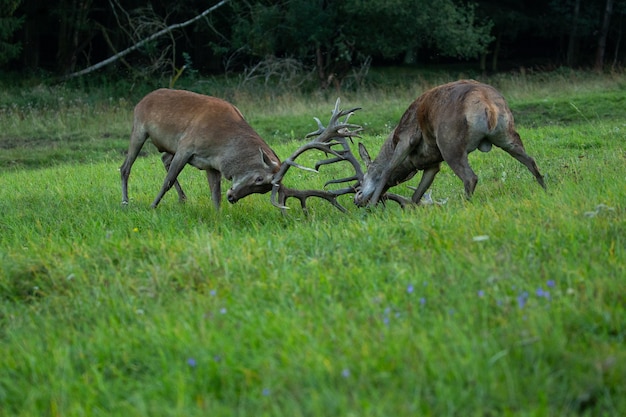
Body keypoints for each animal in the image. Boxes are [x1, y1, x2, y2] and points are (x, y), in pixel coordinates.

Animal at [119, 90, 278, 210]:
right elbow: (168, 181)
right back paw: (125, 201)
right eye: (259, 179)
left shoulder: (211, 164)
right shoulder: (185, 147)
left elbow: (216, 194)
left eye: (264, 190)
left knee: (164, 158)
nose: (232, 197)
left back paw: (183, 198)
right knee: (125, 167)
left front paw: (218, 216)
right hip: (139, 130)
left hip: (169, 146)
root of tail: (140, 102)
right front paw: (152, 206)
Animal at [354, 78, 544, 206]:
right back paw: (545, 190)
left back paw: (466, 204)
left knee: (470, 177)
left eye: (365, 176)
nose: (357, 198)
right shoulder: (433, 164)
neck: (409, 164)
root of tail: (487, 103)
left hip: (450, 144)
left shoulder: (406, 138)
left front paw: (372, 206)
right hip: (506, 134)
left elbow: (387, 170)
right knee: (531, 161)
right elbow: (417, 195)